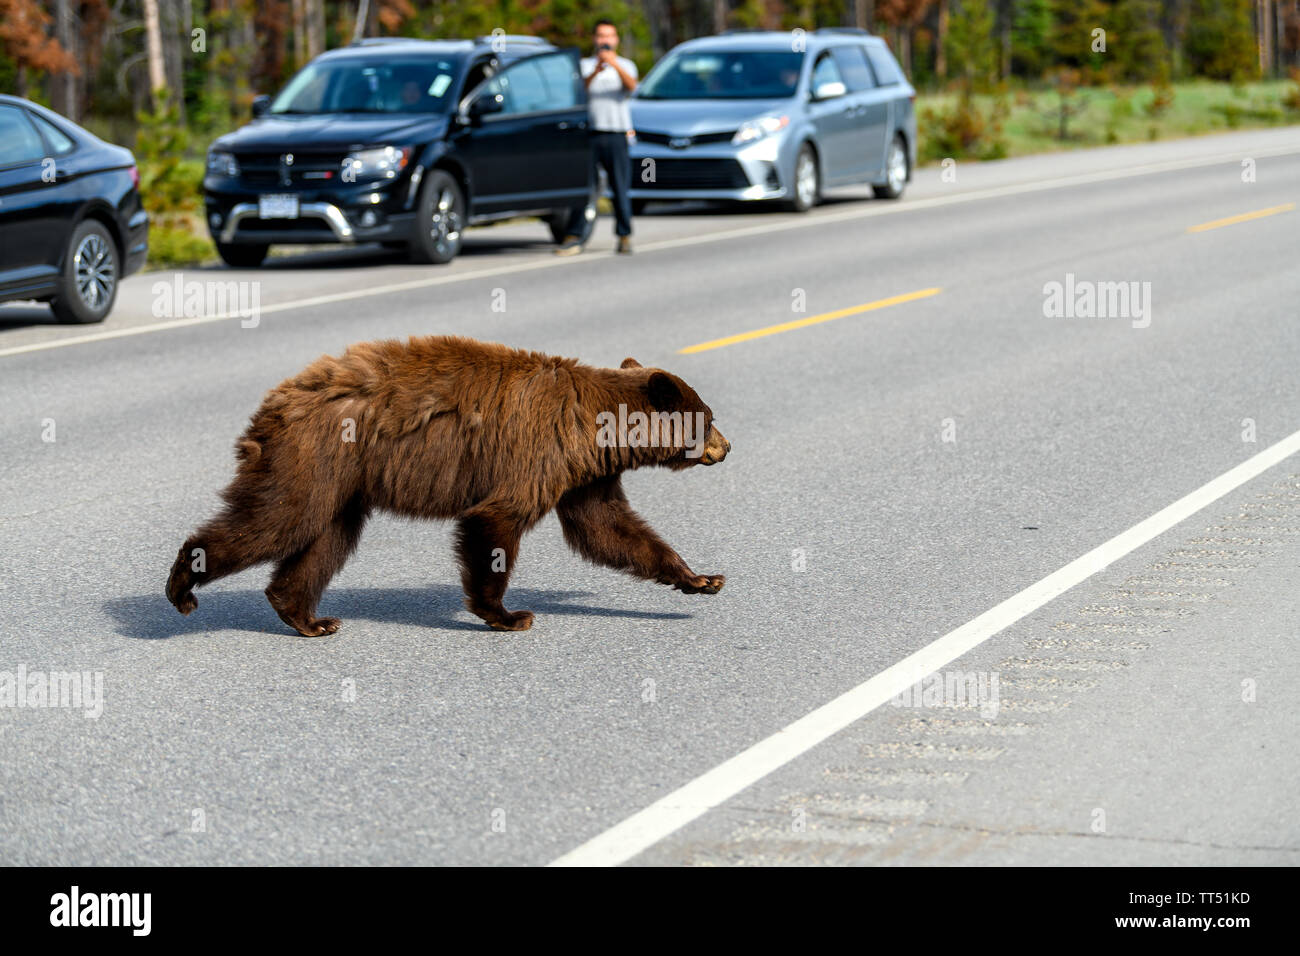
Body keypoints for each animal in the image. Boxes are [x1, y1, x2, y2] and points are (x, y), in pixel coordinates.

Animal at [165, 335, 733, 634]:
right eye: (707, 418)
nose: (727, 447)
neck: (596, 427)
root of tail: (280, 397)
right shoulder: (536, 456)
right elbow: (495, 523)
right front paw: (507, 614)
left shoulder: (583, 474)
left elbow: (607, 528)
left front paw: (699, 578)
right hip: (314, 453)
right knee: (279, 518)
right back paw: (183, 585)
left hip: (343, 480)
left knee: (325, 538)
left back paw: (306, 616)